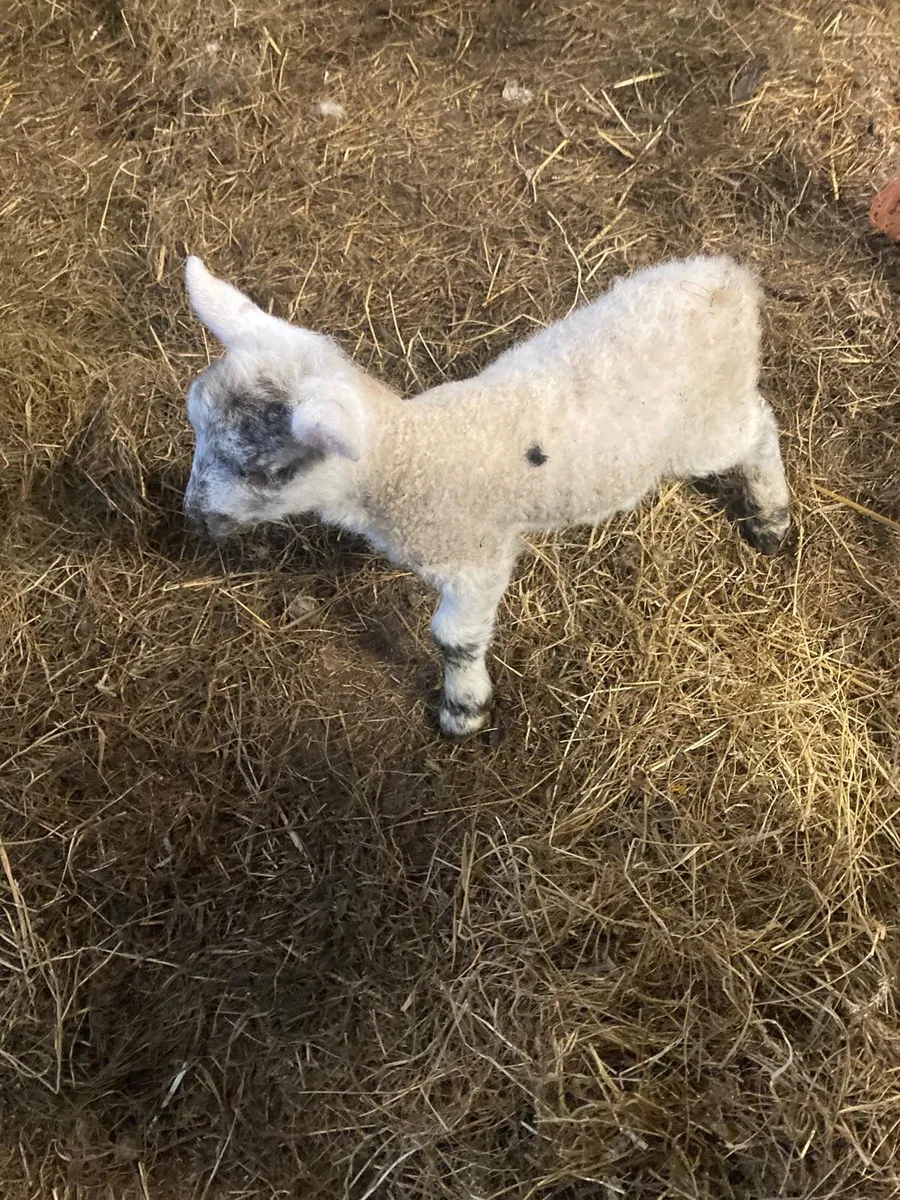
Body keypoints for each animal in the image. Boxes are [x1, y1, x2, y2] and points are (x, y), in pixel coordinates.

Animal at [182, 254, 790, 738]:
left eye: (268, 470)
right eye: (195, 424)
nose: (193, 517)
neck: (410, 456)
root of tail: (727, 280)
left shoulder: (478, 558)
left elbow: (455, 638)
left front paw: (464, 711)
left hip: (703, 426)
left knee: (758, 426)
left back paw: (772, 518)